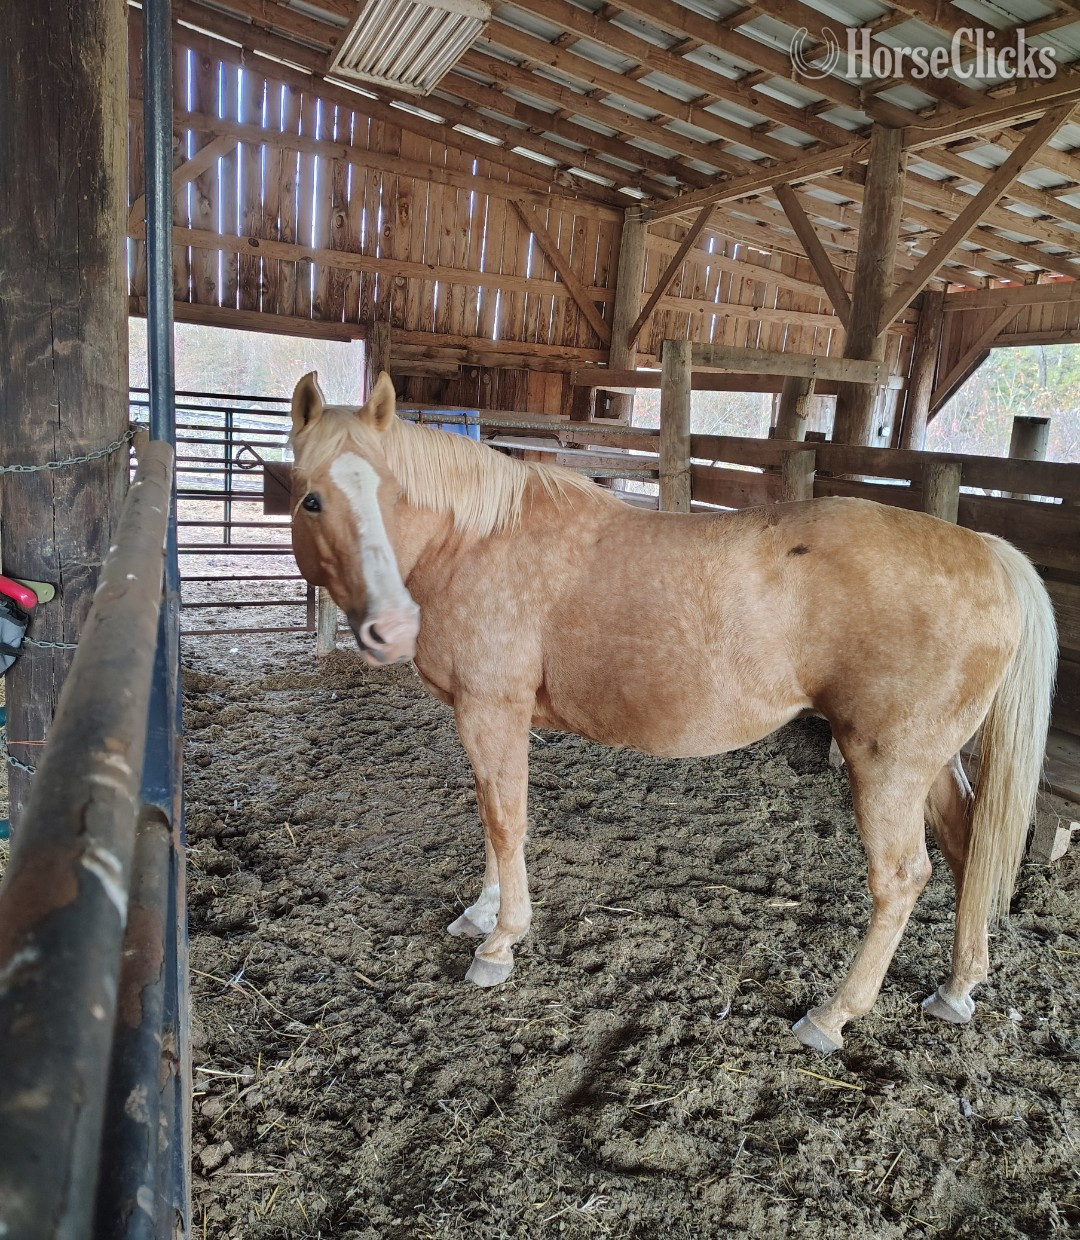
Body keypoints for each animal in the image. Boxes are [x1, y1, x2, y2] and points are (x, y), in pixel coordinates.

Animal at [288, 370, 1056, 1053]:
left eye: (388, 492)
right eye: (311, 499)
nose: (388, 629)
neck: (475, 541)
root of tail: (987, 553)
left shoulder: (491, 711)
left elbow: (506, 823)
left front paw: (501, 942)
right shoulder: (482, 718)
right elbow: (489, 817)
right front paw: (481, 915)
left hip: (887, 765)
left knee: (901, 880)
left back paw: (832, 1015)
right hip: (932, 762)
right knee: (968, 849)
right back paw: (958, 988)